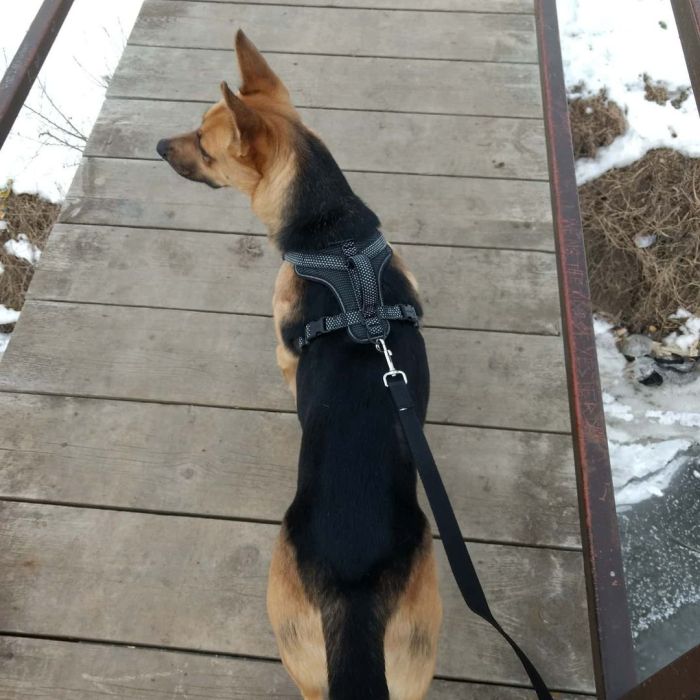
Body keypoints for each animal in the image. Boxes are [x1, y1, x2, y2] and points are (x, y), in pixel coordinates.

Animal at [160, 28, 442, 700]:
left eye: (204, 146)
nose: (157, 145)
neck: (330, 229)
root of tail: (356, 597)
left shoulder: (284, 354)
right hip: (415, 663)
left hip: (297, 646)